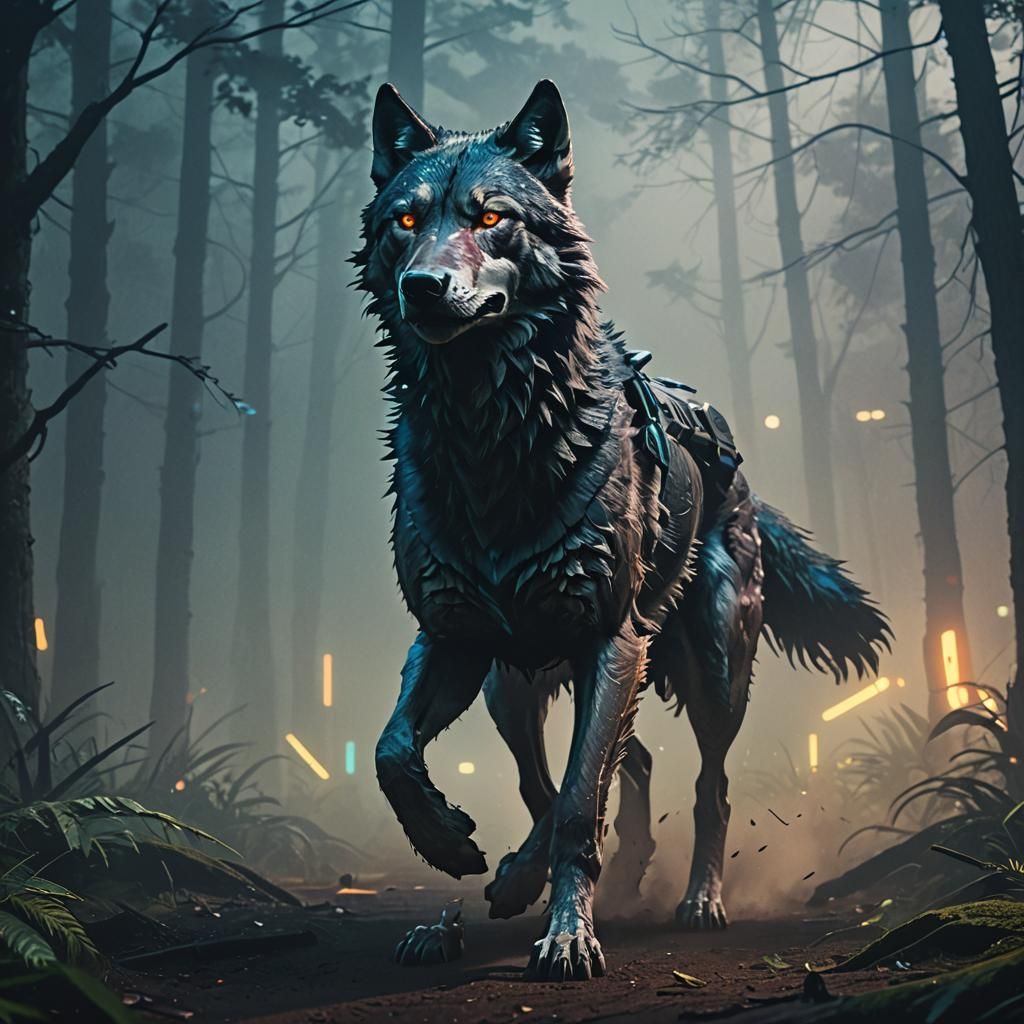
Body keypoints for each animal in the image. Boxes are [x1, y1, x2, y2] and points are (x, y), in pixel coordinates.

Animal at [356, 79, 889, 982]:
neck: (488, 440)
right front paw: (452, 845)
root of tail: (727, 445)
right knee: (602, 766)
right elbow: (397, 753)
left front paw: (569, 935)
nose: (423, 285)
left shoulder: (611, 638)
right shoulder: (452, 637)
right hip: (512, 687)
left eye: (491, 216)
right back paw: (551, 874)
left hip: (711, 672)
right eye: (405, 220)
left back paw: (696, 899)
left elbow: (579, 801)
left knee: (703, 786)